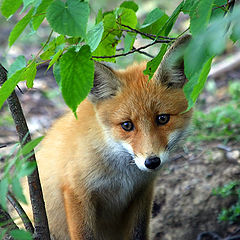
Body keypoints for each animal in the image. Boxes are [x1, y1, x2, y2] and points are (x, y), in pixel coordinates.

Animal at [23, 34, 192, 239]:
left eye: (162, 119)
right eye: (127, 125)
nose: (152, 162)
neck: (123, 176)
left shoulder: (142, 192)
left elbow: (138, 233)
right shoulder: (75, 190)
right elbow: (84, 235)